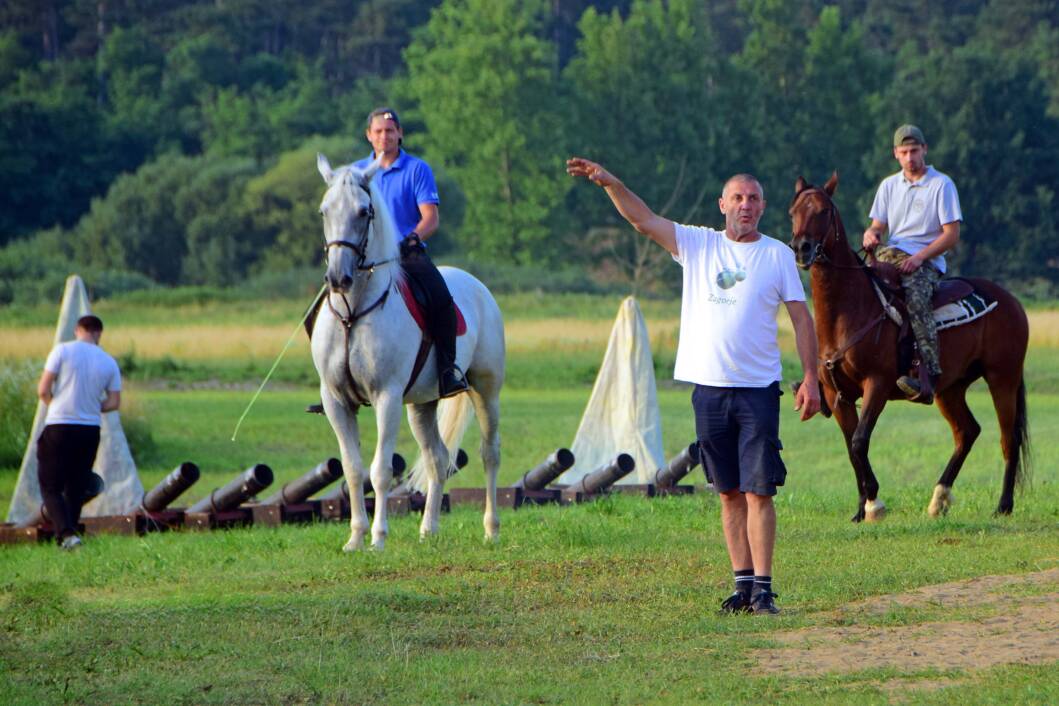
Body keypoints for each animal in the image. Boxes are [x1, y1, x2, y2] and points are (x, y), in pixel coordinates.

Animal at [311, 154, 506, 550]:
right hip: (421, 405)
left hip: (485, 390)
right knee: (437, 458)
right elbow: (353, 470)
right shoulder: (336, 400)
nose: (338, 278)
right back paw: (428, 529)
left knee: (489, 454)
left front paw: (378, 538)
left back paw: (491, 529)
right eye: (324, 211)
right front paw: (355, 538)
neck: (353, 313)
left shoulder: (386, 397)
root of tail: (477, 285)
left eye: (363, 211)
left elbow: (380, 471)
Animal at [792, 173, 1029, 522]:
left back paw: (1003, 505)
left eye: (823, 211)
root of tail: (1011, 301)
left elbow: (860, 441)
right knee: (967, 432)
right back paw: (939, 499)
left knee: (1008, 438)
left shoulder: (876, 384)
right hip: (950, 388)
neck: (848, 311)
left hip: (1003, 378)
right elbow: (851, 447)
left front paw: (874, 503)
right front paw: (860, 510)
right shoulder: (837, 396)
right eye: (793, 211)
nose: (801, 249)